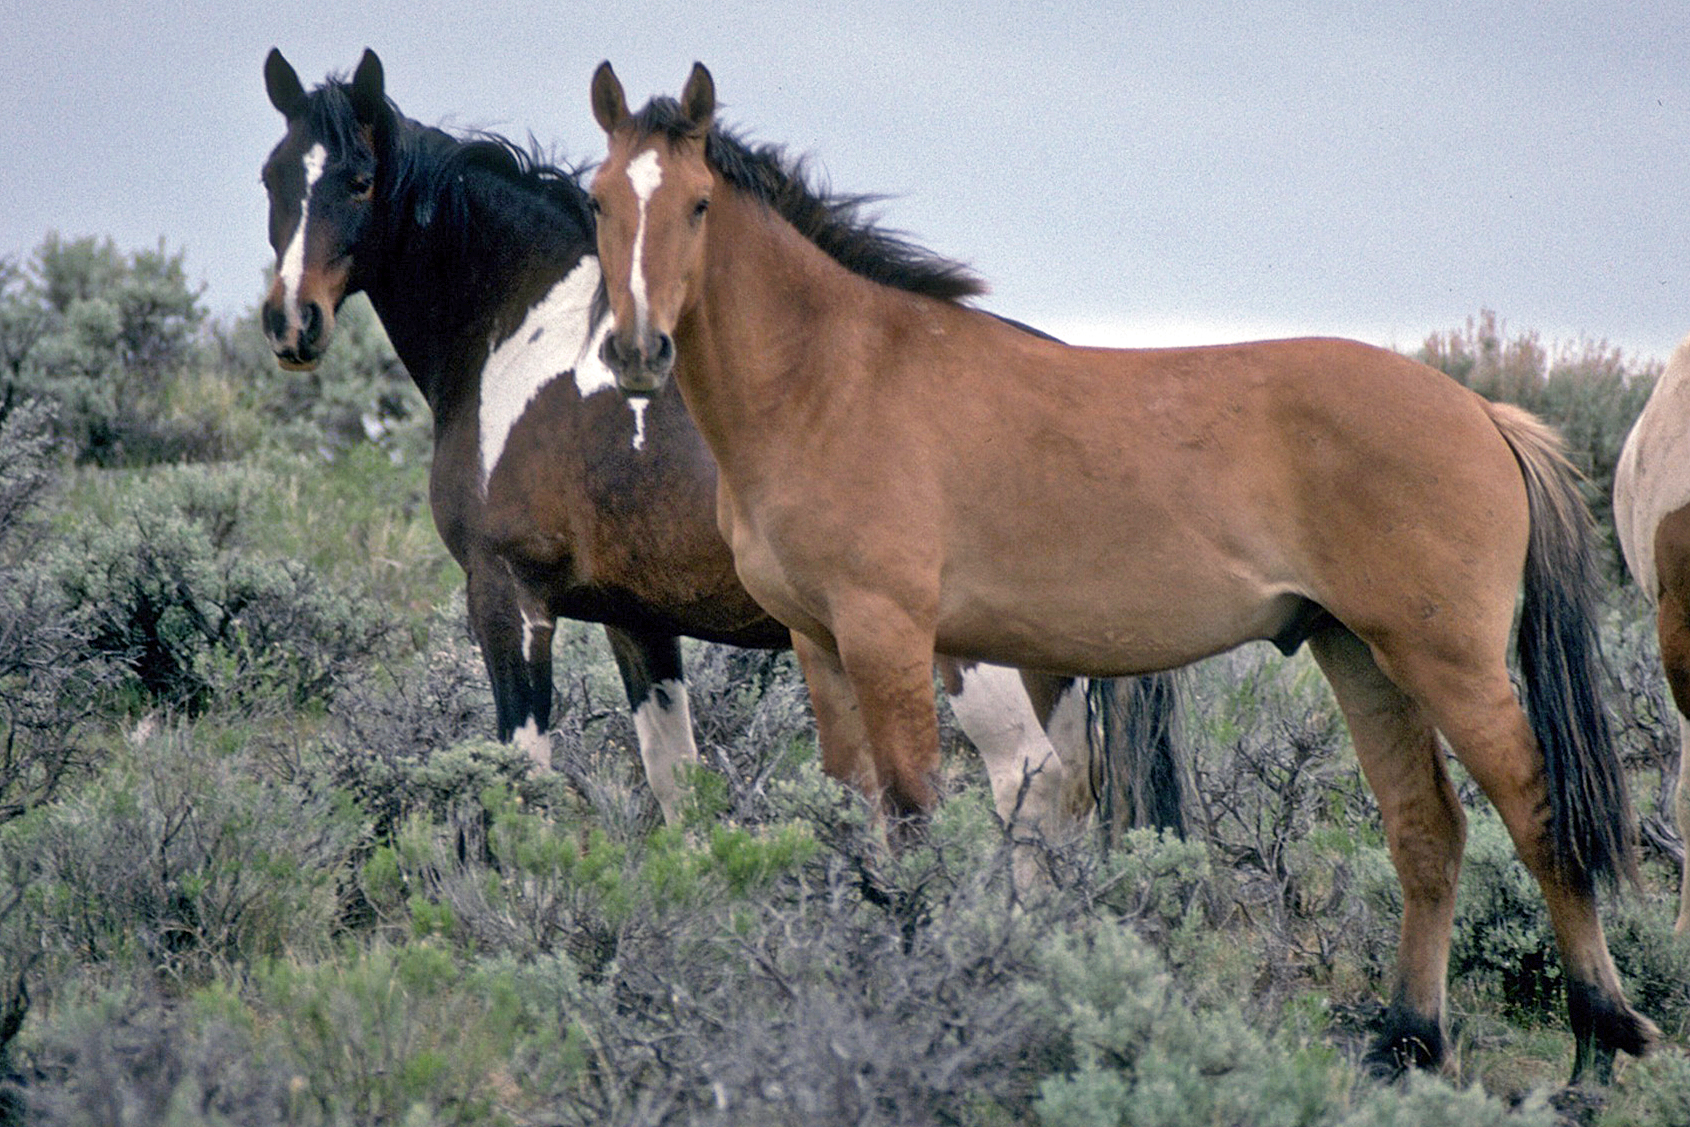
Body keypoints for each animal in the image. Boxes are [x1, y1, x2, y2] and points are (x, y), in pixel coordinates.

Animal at [263, 44, 1189, 854]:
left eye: (359, 179)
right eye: (274, 177)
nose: (290, 322)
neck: (524, 327)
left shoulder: (508, 595)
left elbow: (517, 785)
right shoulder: (638, 621)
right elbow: (678, 782)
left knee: (1025, 781)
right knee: (1072, 792)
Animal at [588, 61, 1656, 1081]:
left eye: (697, 204)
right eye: (599, 201)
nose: (638, 350)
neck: (835, 377)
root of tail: (1482, 412)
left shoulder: (889, 636)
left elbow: (914, 817)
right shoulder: (819, 644)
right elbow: (853, 814)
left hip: (1448, 660)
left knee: (1539, 814)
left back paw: (1598, 1045)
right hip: (1358, 652)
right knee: (1427, 829)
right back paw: (1409, 1042)